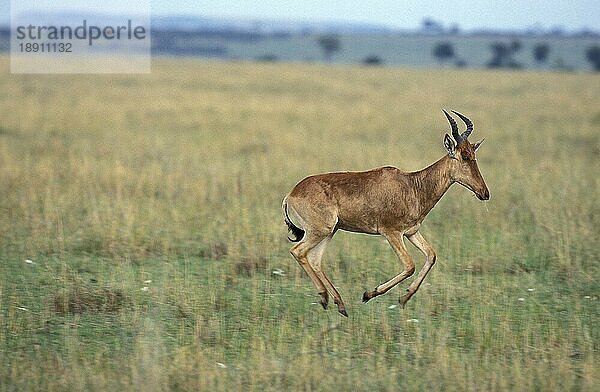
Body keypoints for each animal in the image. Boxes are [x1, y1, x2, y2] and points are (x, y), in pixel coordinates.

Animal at [284, 109, 490, 316]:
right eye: (464, 156)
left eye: (473, 155)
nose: (484, 193)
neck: (412, 185)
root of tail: (291, 193)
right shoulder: (391, 232)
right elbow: (409, 265)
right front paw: (369, 294)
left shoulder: (411, 232)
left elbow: (431, 256)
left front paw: (404, 298)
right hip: (320, 231)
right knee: (298, 251)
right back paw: (325, 297)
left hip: (330, 231)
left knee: (315, 260)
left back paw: (338, 303)